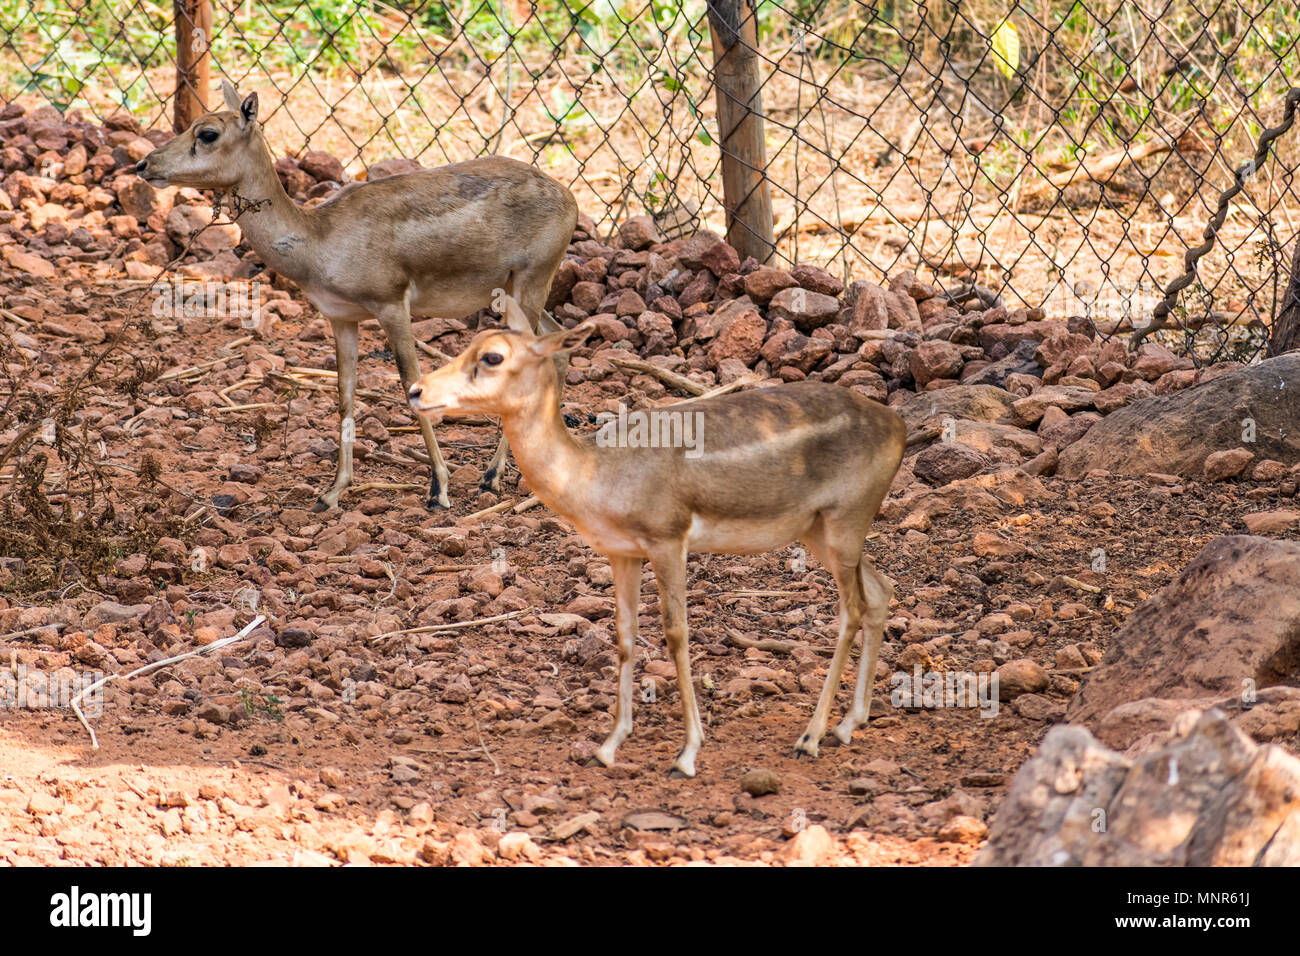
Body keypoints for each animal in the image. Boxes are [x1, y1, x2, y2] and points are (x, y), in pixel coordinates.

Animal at [134, 80, 577, 515]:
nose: (145, 165)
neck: (319, 239)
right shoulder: (341, 317)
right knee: (556, 346)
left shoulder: (392, 305)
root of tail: (568, 197)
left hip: (530, 282)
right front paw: (331, 492)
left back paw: (492, 476)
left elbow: (411, 384)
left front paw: (438, 489)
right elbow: (345, 394)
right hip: (515, 294)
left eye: (208, 133)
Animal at [405, 299, 904, 780]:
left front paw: (687, 755)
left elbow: (676, 633)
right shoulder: (622, 553)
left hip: (845, 522)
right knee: (882, 590)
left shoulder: (668, 539)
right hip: (820, 531)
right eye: (471, 343)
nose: (416, 391)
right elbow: (625, 634)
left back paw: (811, 737)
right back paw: (847, 725)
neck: (597, 473)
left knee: (852, 608)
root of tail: (896, 425)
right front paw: (606, 748)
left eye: (493, 356)